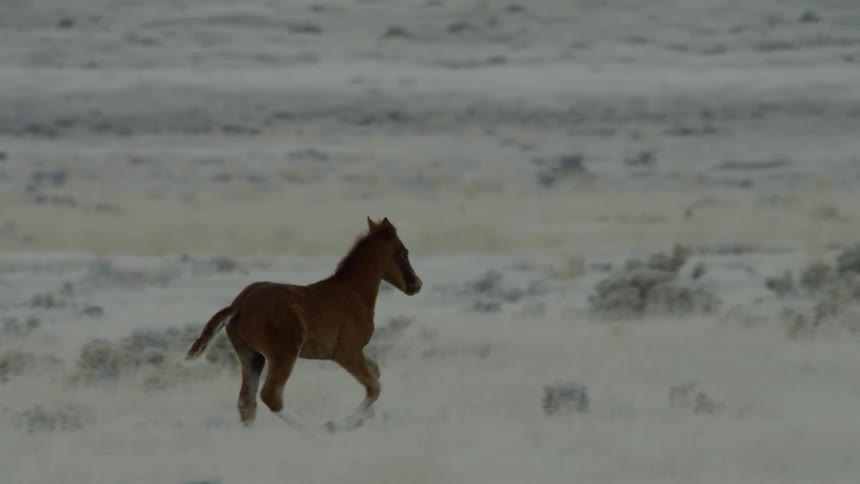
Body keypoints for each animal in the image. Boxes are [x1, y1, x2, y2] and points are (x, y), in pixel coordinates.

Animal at [184, 217, 422, 432]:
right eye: (404, 252)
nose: (417, 284)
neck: (353, 293)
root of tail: (239, 304)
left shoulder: (356, 353)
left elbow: (376, 373)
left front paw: (364, 418)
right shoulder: (347, 352)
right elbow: (374, 387)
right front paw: (337, 424)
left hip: (251, 356)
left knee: (247, 402)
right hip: (284, 353)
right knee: (271, 395)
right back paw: (311, 431)